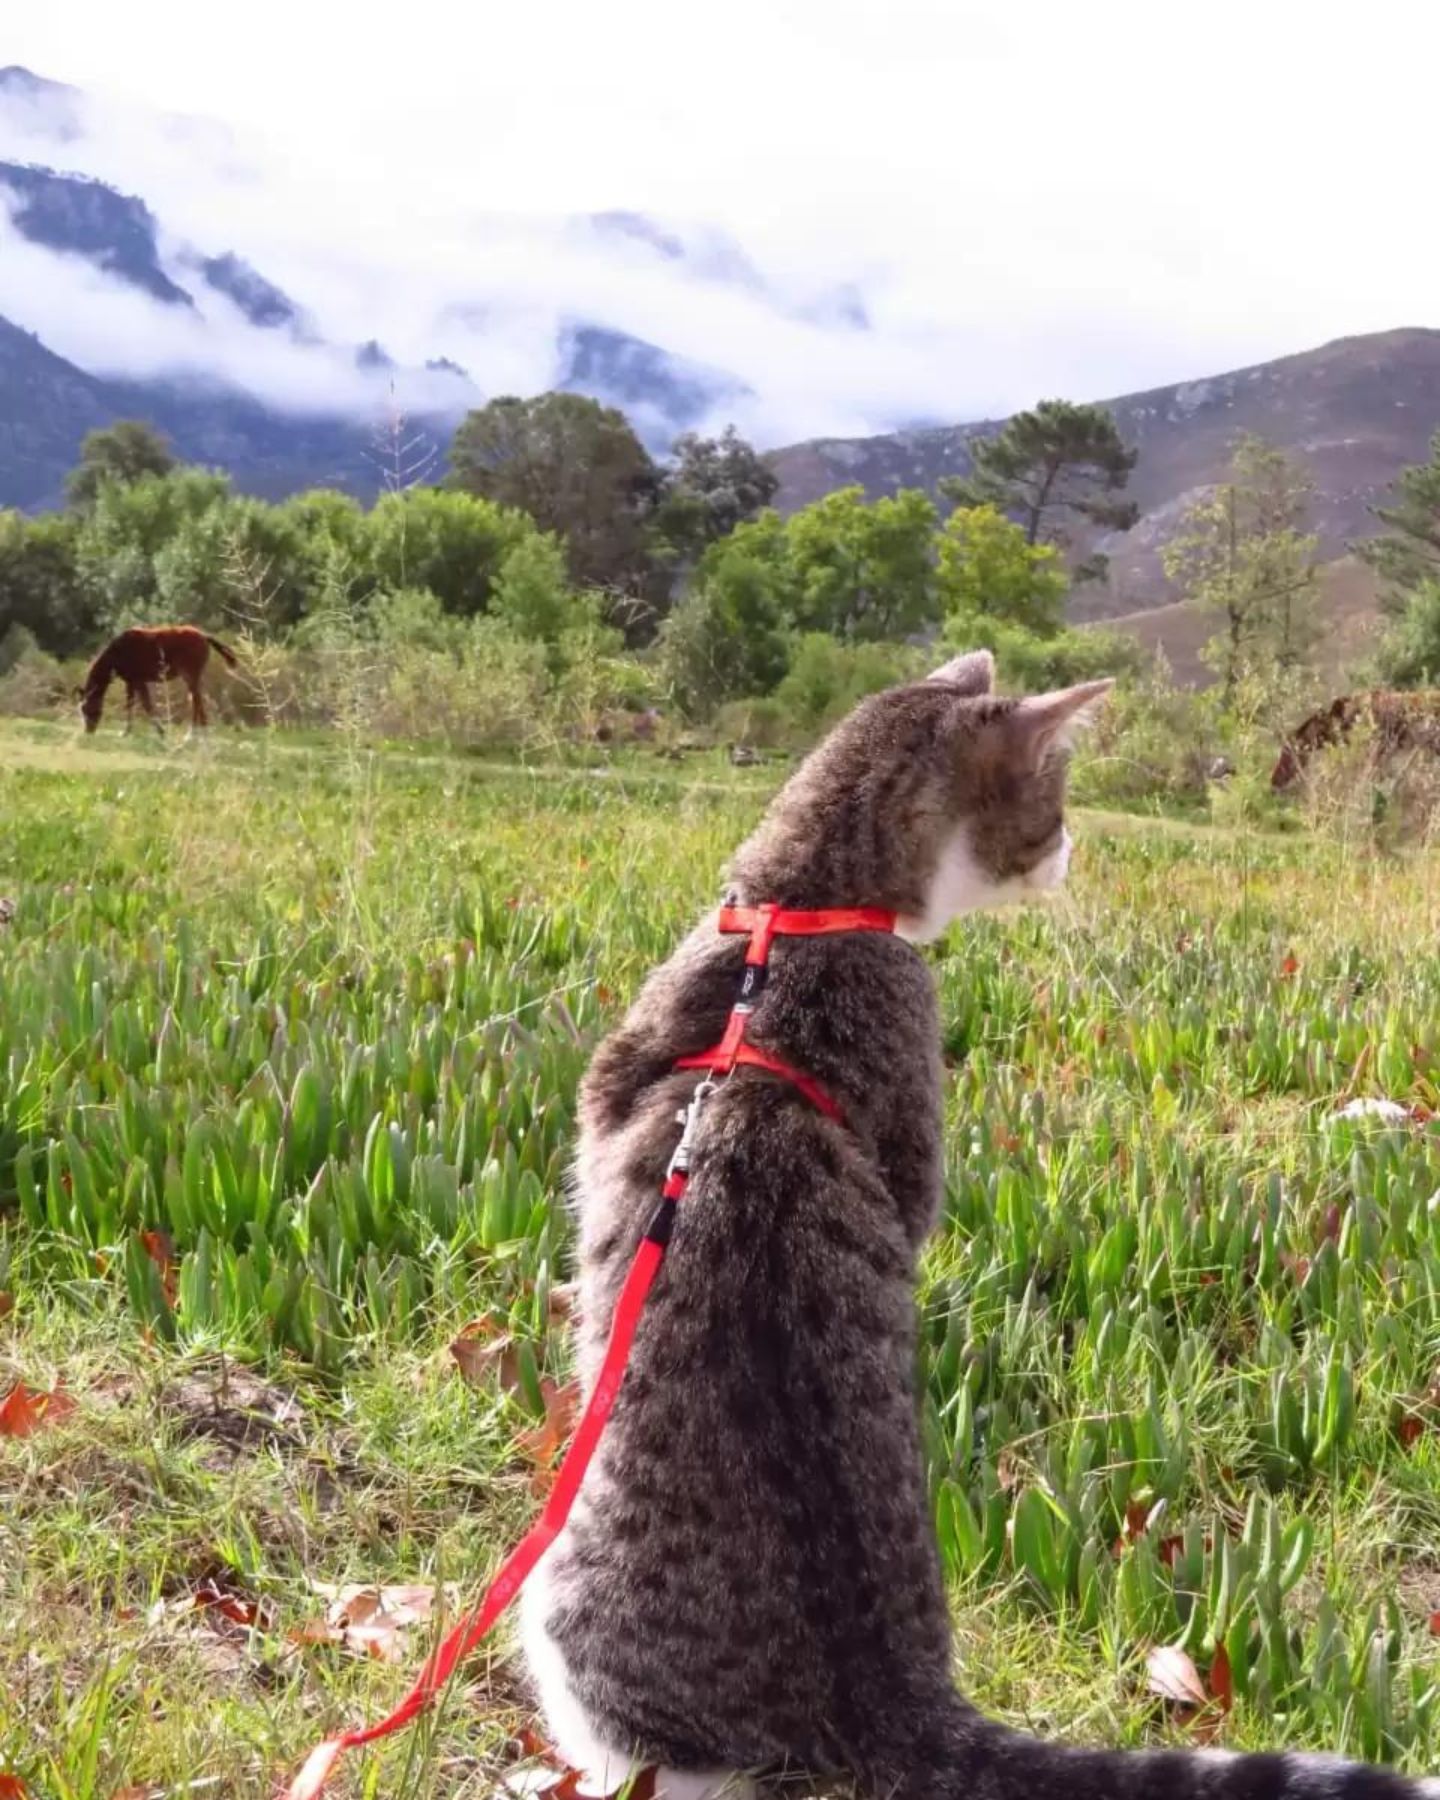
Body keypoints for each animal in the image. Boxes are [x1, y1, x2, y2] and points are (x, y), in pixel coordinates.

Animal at [77, 619, 239, 730]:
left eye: (86, 707)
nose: (88, 730)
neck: (118, 653)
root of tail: (204, 636)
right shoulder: (131, 681)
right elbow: (133, 703)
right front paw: (128, 730)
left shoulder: (138, 680)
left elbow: (145, 705)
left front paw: (159, 730)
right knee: (197, 701)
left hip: (191, 675)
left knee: (197, 702)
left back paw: (192, 734)